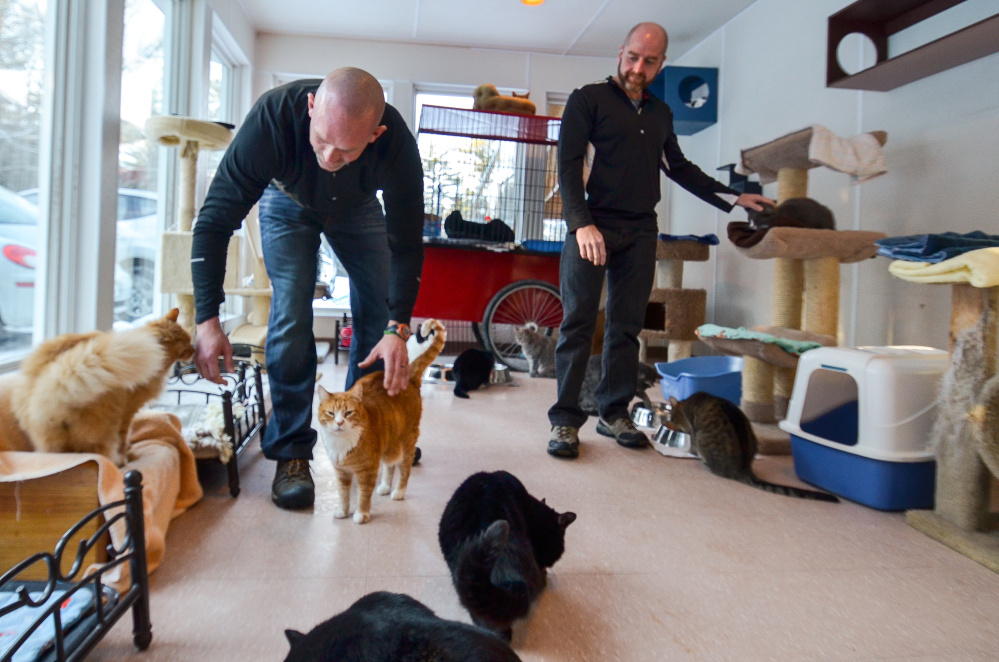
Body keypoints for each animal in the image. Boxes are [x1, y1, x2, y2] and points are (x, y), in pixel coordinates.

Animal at [11, 310, 195, 466]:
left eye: (189, 340)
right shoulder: (128, 412)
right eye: (185, 345)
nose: (194, 349)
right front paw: (126, 455)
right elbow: (124, 438)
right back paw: (117, 462)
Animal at [318, 320, 448, 528]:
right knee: (390, 465)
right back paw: (386, 486)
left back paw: (398, 492)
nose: (338, 423)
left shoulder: (367, 471)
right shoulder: (341, 473)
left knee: (404, 468)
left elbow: (363, 495)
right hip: (389, 444)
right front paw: (343, 511)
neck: (341, 443)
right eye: (331, 413)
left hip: (407, 442)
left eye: (348, 413)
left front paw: (361, 514)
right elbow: (344, 494)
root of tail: (409, 377)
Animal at [668, 394, 840, 504]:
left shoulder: (693, 432)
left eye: (672, 418)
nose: (671, 423)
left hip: (703, 438)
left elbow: (692, 445)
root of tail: (744, 469)